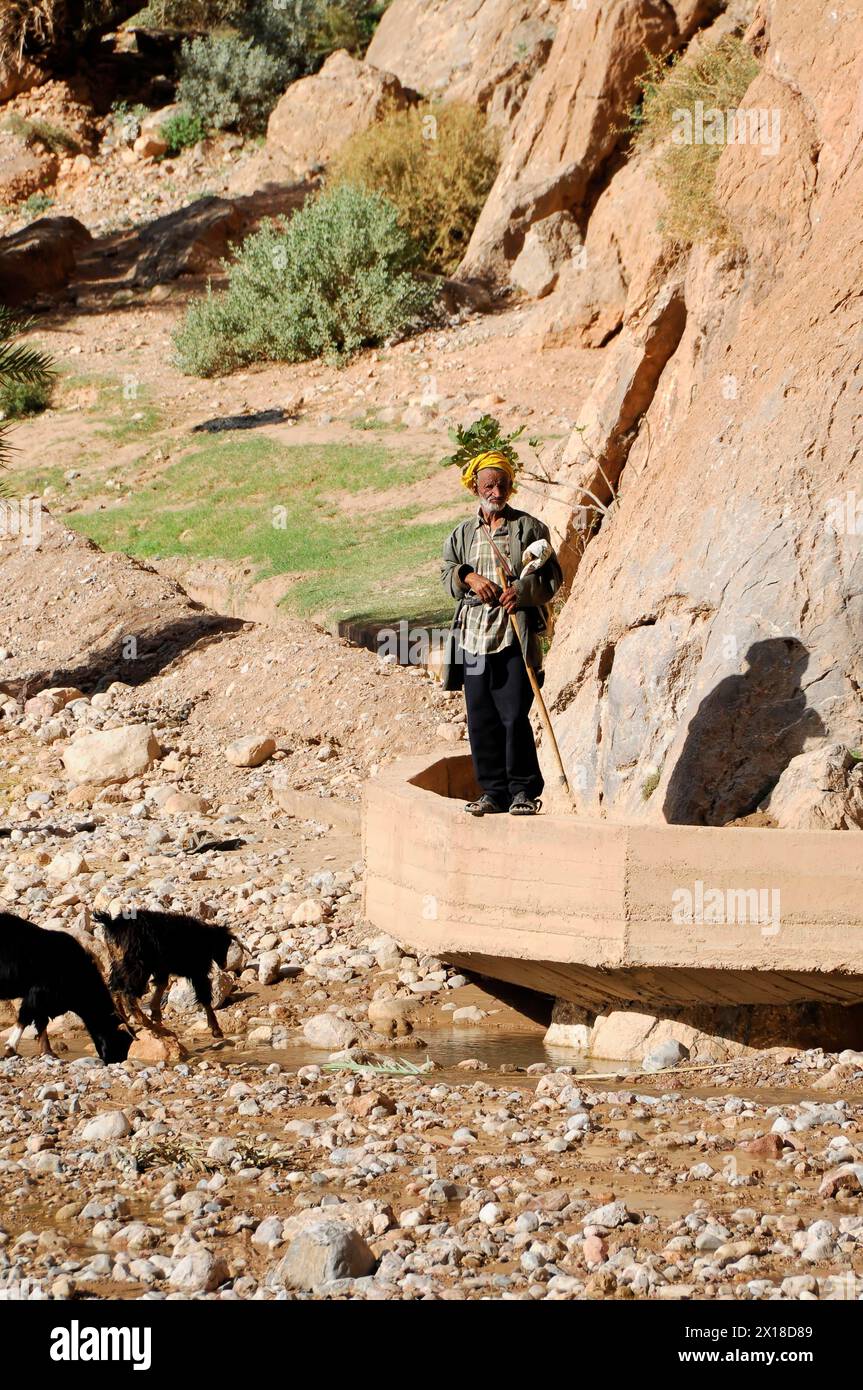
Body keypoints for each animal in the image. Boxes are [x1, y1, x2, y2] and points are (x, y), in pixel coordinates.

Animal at [0, 911, 131, 1061]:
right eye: (120, 1040)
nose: (115, 1060)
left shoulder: (44, 1001)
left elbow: (41, 1023)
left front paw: (48, 1052)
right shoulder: (38, 993)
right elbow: (26, 1017)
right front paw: (10, 1048)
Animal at [96, 906, 236, 1039]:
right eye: (223, 945)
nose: (224, 965)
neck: (205, 939)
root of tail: (113, 926)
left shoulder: (162, 969)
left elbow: (162, 984)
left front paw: (155, 1013)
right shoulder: (198, 972)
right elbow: (205, 997)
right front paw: (216, 1029)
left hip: (118, 964)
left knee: (115, 990)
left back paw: (127, 1023)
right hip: (137, 967)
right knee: (128, 995)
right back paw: (149, 1024)